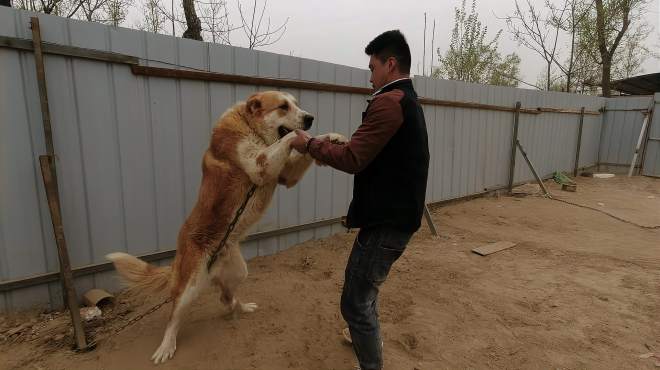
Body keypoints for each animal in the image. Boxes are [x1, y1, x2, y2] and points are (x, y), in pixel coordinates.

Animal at [105, 91, 348, 362]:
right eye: (283, 107)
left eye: (296, 104)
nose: (310, 118)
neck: (250, 127)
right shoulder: (259, 165)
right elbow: (292, 136)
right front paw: (307, 136)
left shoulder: (285, 177)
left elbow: (301, 146)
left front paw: (332, 138)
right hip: (190, 286)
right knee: (174, 316)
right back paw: (166, 346)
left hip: (239, 271)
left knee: (225, 296)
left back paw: (240, 307)